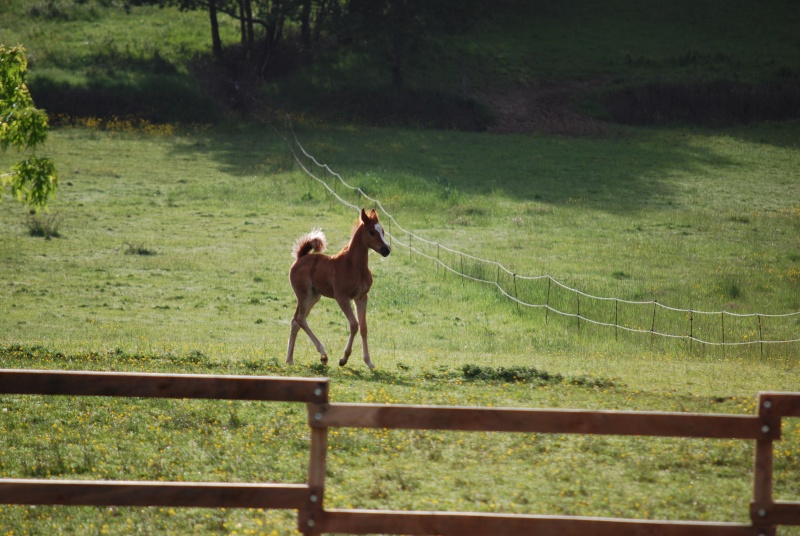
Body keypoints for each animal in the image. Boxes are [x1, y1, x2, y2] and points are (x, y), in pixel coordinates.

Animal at [288, 209, 390, 368]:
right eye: (372, 232)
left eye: (383, 231)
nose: (386, 250)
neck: (354, 266)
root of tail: (300, 257)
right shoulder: (342, 297)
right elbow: (354, 325)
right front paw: (344, 359)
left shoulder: (361, 297)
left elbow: (363, 327)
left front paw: (368, 361)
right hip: (304, 295)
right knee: (300, 318)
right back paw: (323, 354)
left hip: (314, 296)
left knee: (295, 321)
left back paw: (290, 360)